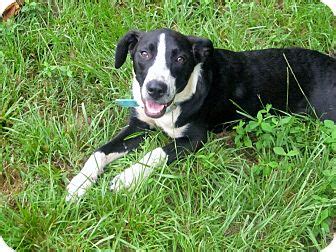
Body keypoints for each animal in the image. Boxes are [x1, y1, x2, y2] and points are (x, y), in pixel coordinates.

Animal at [65, 27, 336, 201]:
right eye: (144, 53)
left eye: (180, 58)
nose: (155, 89)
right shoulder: (139, 126)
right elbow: (99, 152)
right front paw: (79, 184)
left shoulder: (194, 139)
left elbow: (155, 153)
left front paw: (125, 178)